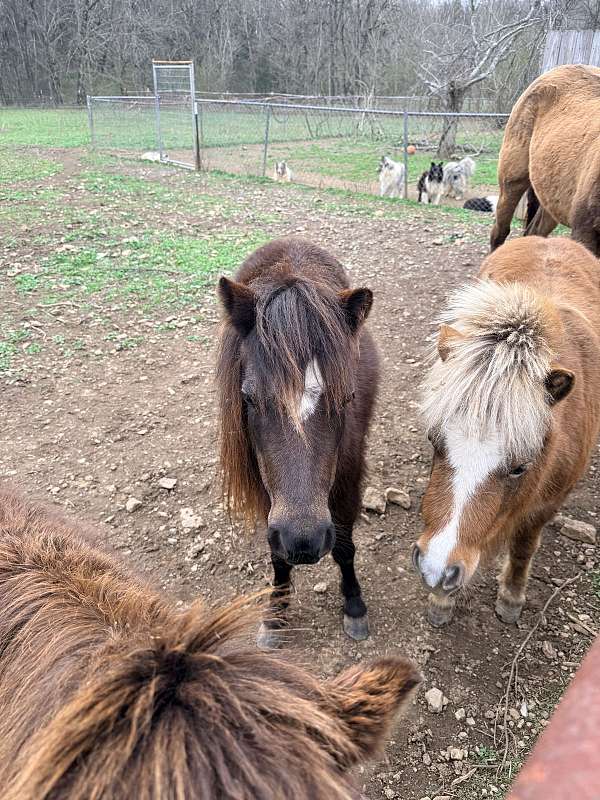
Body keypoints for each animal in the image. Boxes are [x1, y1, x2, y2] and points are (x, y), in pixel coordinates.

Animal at [216, 238, 379, 648]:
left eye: (347, 398)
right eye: (248, 398)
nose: (302, 541)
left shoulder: (348, 477)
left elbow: (344, 545)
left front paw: (354, 605)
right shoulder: (267, 492)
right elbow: (276, 556)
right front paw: (275, 614)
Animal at [414, 236, 600, 627]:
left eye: (519, 468)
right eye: (434, 441)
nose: (435, 569)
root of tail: (552, 239)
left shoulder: (547, 505)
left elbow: (525, 545)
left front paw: (512, 596)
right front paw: (440, 601)